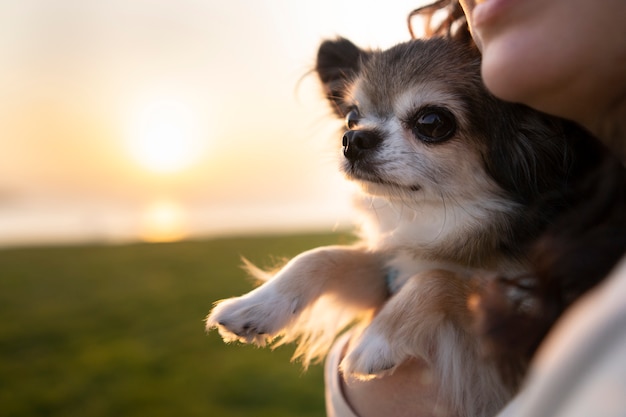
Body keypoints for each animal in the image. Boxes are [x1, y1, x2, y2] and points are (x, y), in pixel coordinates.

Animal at [207, 35, 604, 416]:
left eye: (432, 122)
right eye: (352, 117)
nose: (353, 139)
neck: (454, 219)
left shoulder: (517, 329)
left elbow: (442, 278)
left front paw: (376, 339)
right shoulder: (393, 267)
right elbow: (325, 256)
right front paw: (258, 304)